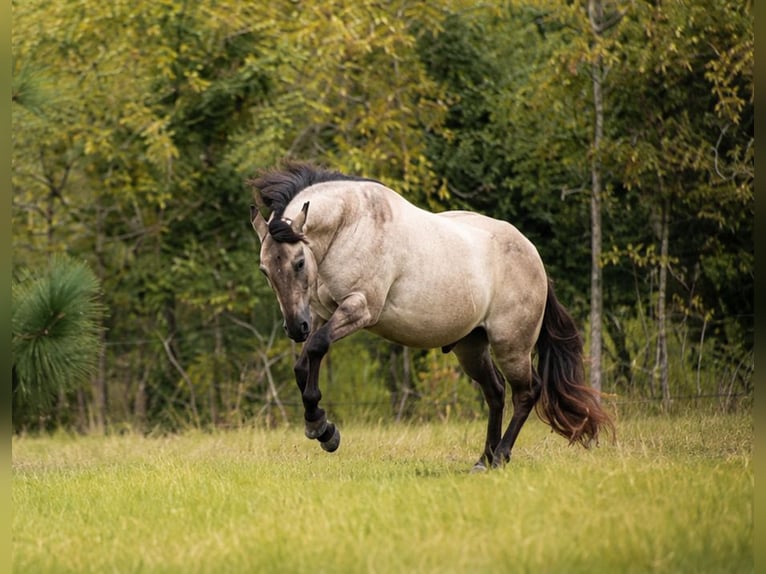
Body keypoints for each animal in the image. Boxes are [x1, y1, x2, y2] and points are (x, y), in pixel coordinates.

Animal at [248, 161, 613, 471]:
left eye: (298, 262)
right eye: (264, 270)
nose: (295, 327)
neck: (350, 225)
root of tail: (535, 258)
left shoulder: (360, 308)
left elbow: (315, 348)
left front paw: (320, 427)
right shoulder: (325, 315)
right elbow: (304, 363)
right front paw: (323, 428)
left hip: (512, 346)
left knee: (526, 393)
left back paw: (500, 457)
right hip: (472, 347)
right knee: (495, 393)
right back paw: (483, 460)